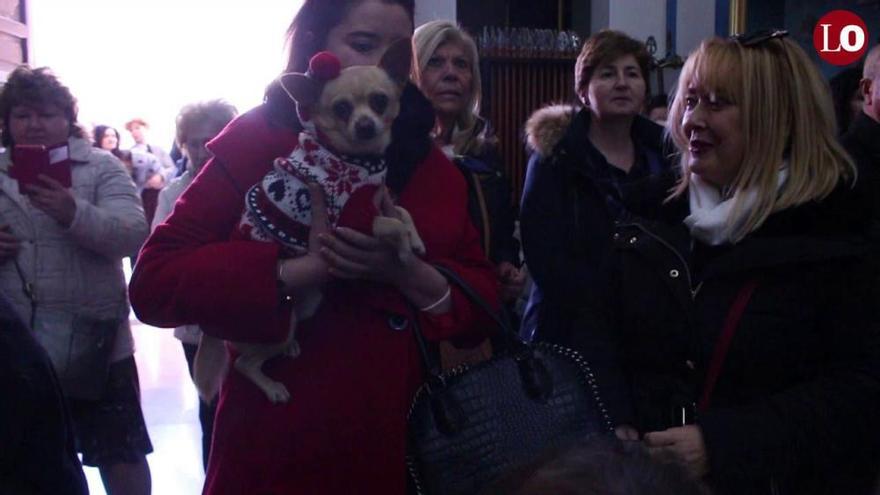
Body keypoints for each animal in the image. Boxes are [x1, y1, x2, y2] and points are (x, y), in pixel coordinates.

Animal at [193, 40, 426, 404]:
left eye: (379, 100)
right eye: (341, 109)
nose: (365, 124)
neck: (355, 158)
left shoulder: (378, 202)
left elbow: (402, 213)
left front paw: (415, 240)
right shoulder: (350, 222)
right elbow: (391, 225)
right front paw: (401, 251)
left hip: (307, 303)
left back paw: (290, 350)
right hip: (278, 324)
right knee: (244, 362)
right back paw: (272, 387)